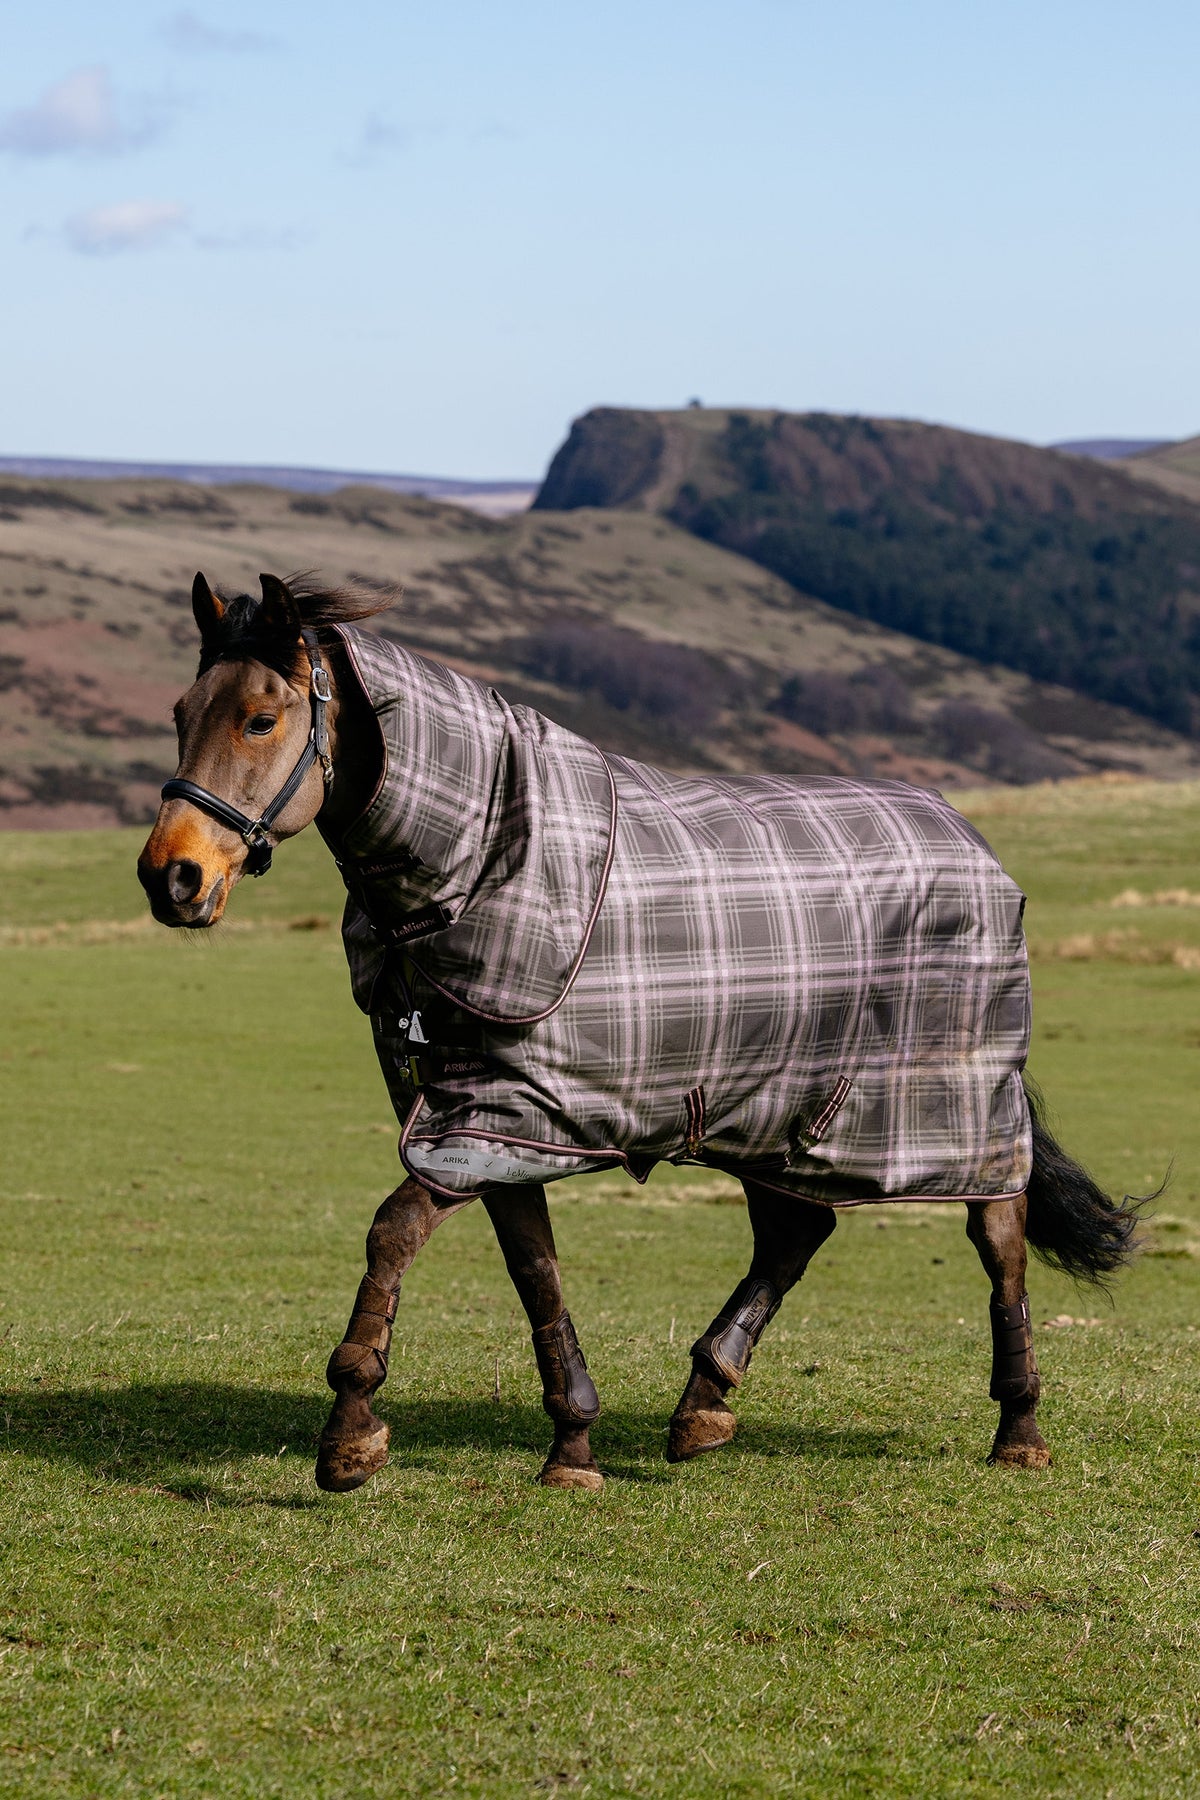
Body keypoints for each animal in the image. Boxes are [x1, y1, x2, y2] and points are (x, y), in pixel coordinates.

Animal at [137, 571, 1142, 1495]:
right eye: (183, 711)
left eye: (261, 719)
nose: (171, 877)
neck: (482, 861)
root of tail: (976, 843)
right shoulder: (498, 1123)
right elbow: (534, 1272)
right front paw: (572, 1446)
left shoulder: (496, 1116)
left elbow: (391, 1234)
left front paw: (350, 1432)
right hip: (785, 1114)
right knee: (795, 1233)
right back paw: (704, 1403)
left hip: (954, 1107)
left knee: (998, 1239)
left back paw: (1019, 1430)